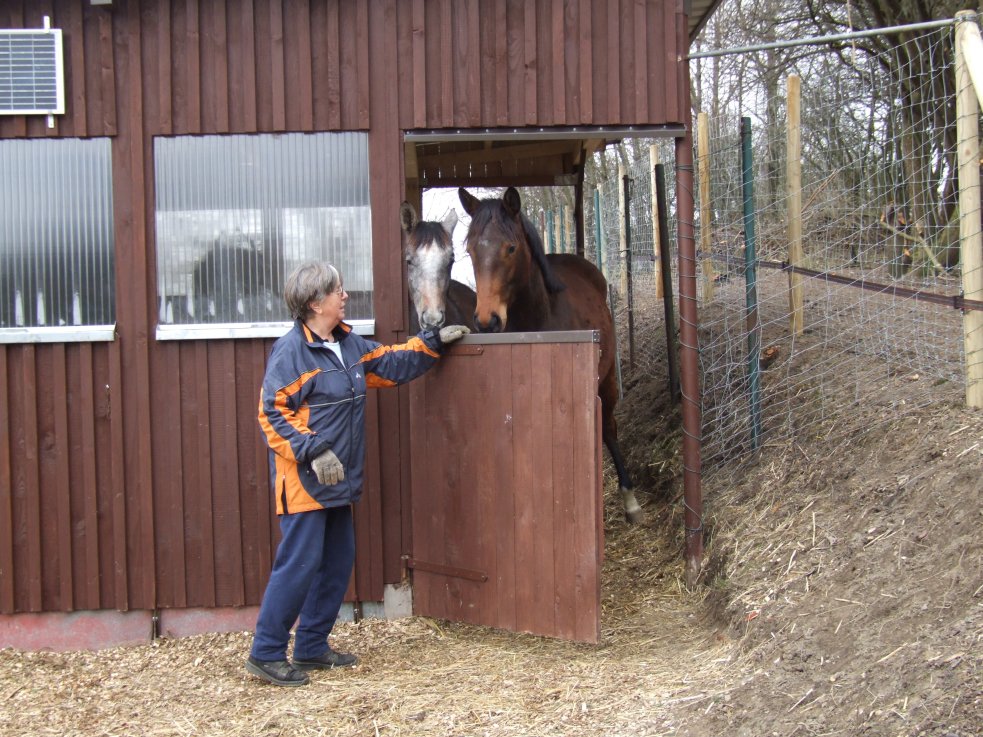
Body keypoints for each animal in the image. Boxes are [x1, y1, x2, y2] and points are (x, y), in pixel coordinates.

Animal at [458, 188, 640, 524]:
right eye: (470, 249)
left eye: (511, 247)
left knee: (608, 429)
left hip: (607, 379)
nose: (487, 320)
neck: (540, 317)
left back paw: (630, 500)